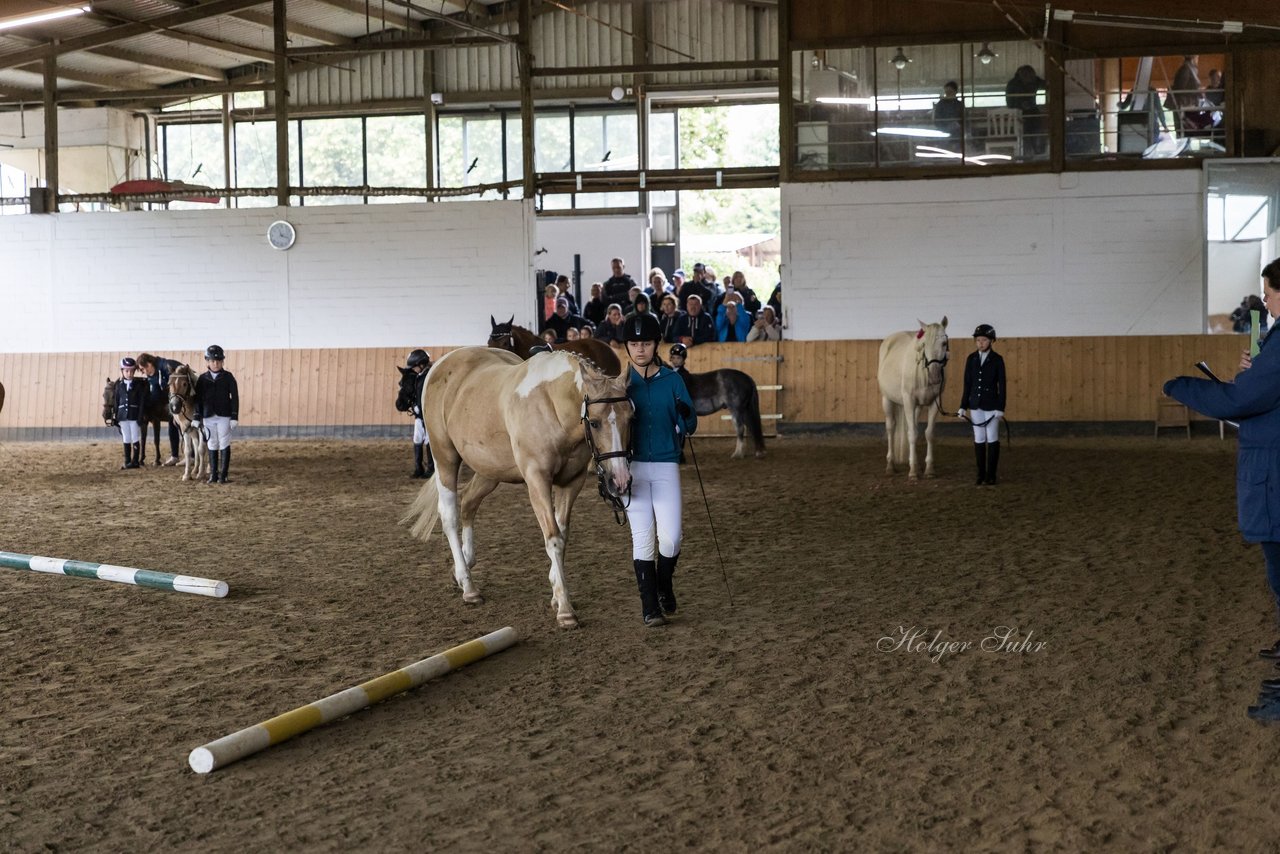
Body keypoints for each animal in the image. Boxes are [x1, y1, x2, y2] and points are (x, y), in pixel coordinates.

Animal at [401, 345, 632, 627]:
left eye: (631, 418)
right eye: (595, 422)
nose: (620, 480)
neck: (551, 406)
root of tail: (443, 362)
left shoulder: (571, 482)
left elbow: (563, 535)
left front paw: (556, 593)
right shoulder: (537, 480)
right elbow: (553, 538)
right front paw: (565, 609)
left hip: (489, 471)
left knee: (469, 503)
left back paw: (462, 568)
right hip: (444, 457)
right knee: (449, 515)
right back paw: (469, 586)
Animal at [880, 318, 952, 481]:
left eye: (944, 343)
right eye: (924, 344)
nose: (934, 376)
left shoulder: (934, 403)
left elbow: (929, 433)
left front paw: (929, 469)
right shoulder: (909, 401)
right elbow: (912, 434)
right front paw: (912, 472)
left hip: (917, 407)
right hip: (887, 400)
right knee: (890, 428)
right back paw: (890, 466)